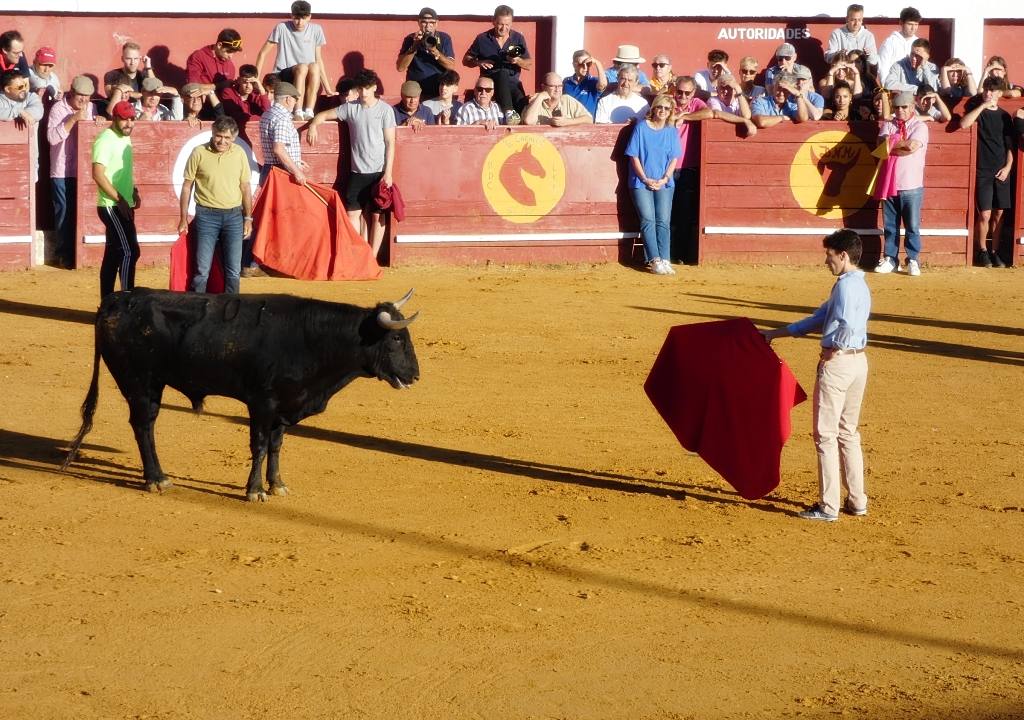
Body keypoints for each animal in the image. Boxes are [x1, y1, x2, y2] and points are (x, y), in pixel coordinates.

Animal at [60, 286, 419, 501]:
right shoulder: (262, 403)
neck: (311, 337)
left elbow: (276, 445)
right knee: (143, 427)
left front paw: (277, 484)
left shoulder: (284, 406)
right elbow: (258, 446)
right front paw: (255, 490)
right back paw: (156, 479)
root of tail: (116, 300)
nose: (414, 375)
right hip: (140, 384)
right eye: (397, 339)